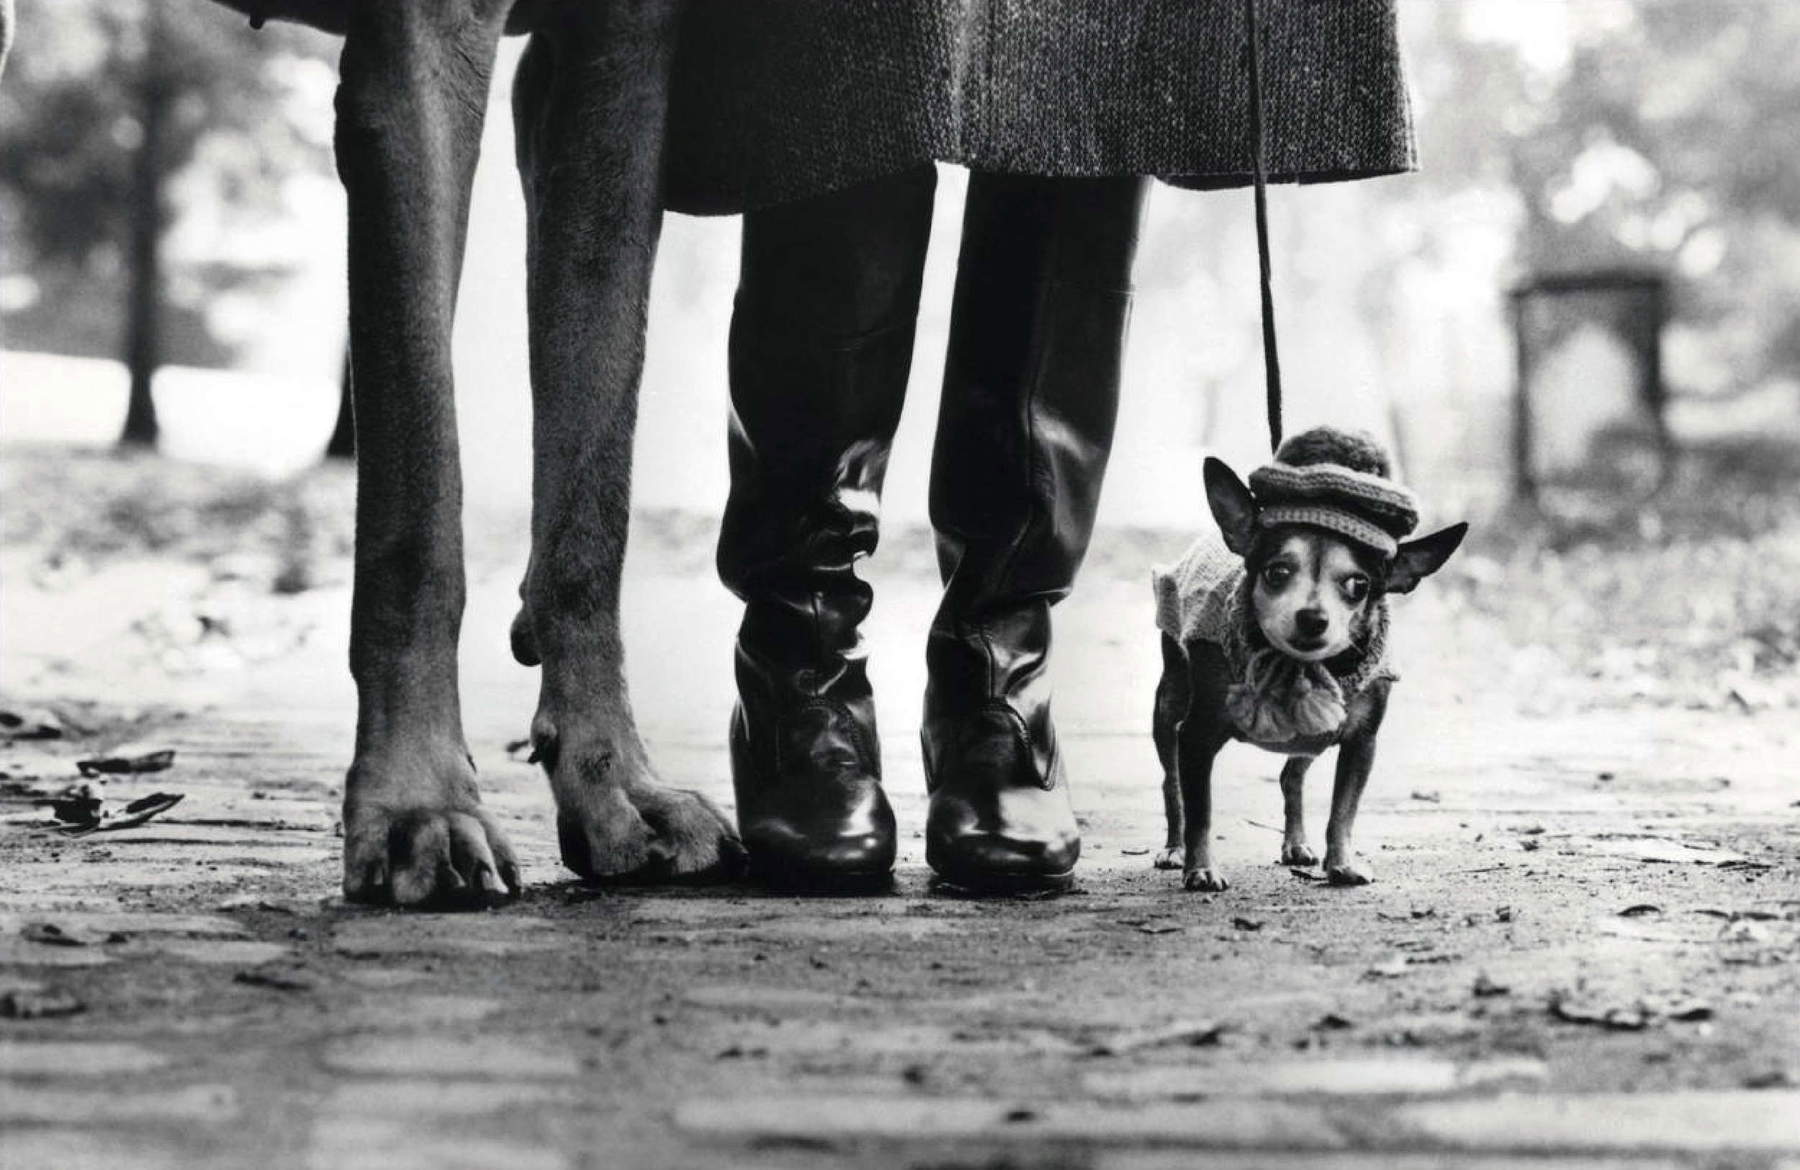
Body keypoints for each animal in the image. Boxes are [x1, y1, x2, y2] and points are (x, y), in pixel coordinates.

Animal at [1144, 423, 1468, 889]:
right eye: (1276, 572)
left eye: (1359, 585)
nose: (1313, 617)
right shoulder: (1196, 737)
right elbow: (1200, 811)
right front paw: (1201, 867)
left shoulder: (1361, 743)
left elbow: (1343, 812)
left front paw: (1343, 863)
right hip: (1169, 706)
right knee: (1172, 784)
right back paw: (1173, 848)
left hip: (1308, 739)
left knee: (1290, 777)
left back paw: (1295, 844)